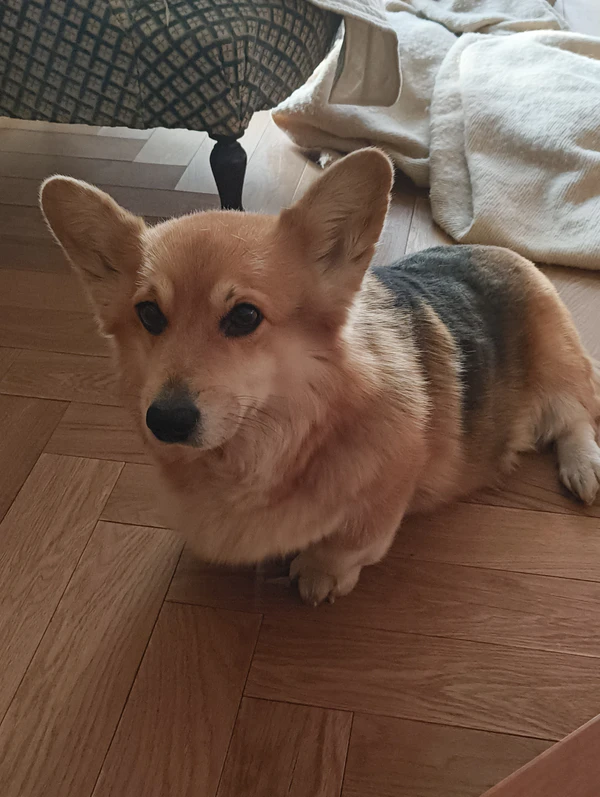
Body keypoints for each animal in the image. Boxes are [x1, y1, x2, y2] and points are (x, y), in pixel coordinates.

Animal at [40, 148, 600, 606]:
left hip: (556, 375)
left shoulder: (391, 485)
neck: (269, 445)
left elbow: (354, 540)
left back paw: (584, 469)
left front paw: (319, 572)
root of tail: (502, 251)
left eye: (244, 316)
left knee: (574, 417)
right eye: (150, 315)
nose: (166, 421)